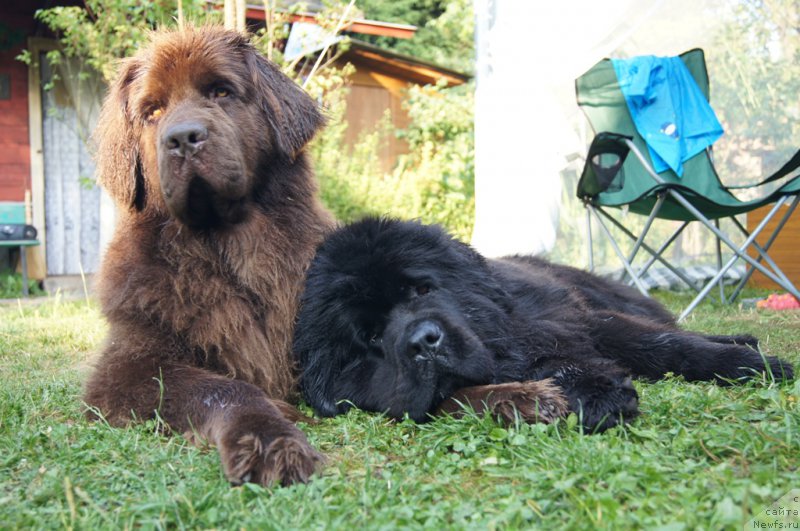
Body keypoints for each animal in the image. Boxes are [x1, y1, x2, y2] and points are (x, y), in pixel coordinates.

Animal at [81, 28, 332, 486]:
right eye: (153, 110)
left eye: (221, 92)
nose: (183, 138)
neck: (226, 248)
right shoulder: (127, 368)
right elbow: (228, 388)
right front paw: (271, 441)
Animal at [296, 218, 792, 434]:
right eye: (371, 337)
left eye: (421, 289)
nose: (423, 342)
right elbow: (547, 365)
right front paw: (597, 392)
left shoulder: (579, 320)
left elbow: (664, 346)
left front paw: (752, 365)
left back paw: (742, 340)